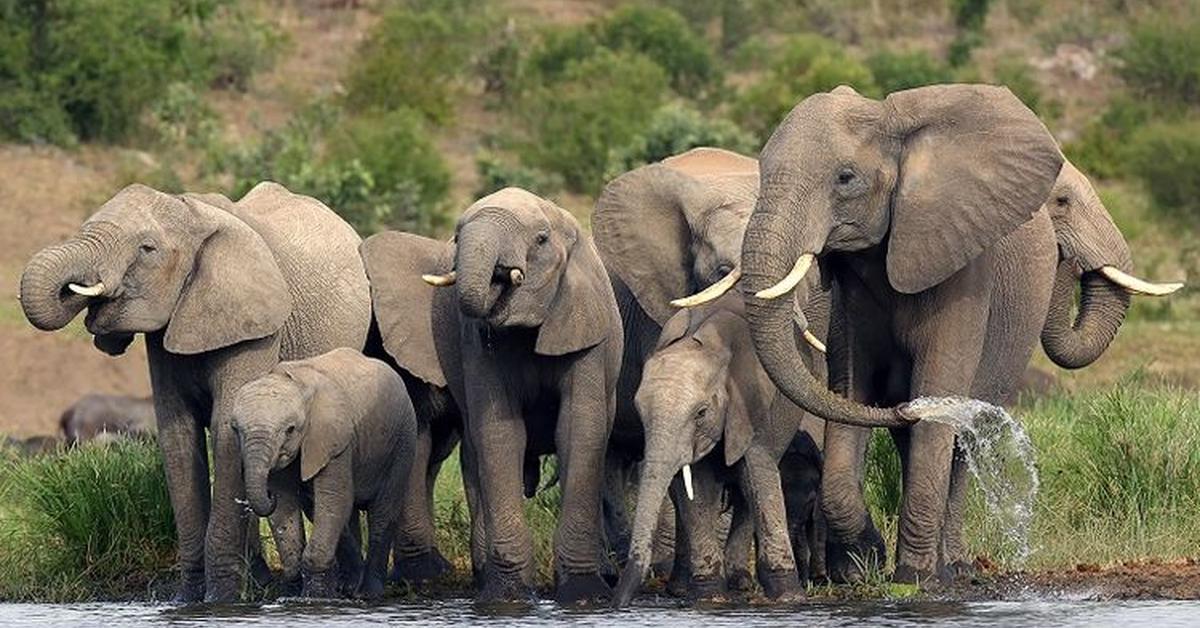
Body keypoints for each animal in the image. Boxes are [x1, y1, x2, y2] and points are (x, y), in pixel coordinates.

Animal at [18, 182, 369, 605]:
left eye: (147, 249)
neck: (192, 213)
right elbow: (178, 438)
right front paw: (187, 599)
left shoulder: (255, 328)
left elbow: (225, 431)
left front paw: (220, 599)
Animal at [229, 348, 417, 600]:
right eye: (235, 429)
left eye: (290, 430)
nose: (268, 495)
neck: (297, 384)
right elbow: (286, 506)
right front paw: (290, 594)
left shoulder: (334, 438)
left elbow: (334, 498)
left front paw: (314, 597)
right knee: (326, 510)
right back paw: (349, 587)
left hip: (403, 441)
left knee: (383, 511)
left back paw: (368, 593)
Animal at [357, 188, 624, 609]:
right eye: (457, 234)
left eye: (541, 239)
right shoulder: (476, 344)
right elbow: (500, 434)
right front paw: (508, 596)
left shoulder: (585, 331)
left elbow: (580, 430)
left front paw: (584, 596)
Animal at [614, 296, 830, 609]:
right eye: (640, 412)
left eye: (701, 413)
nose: (617, 602)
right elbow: (697, 489)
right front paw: (710, 597)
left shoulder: (751, 407)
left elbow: (756, 476)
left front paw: (789, 598)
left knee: (746, 492)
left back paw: (740, 581)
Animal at [700, 83, 1176, 585]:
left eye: (846, 178)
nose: (1070, 260)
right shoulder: (849, 297)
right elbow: (850, 391)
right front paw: (865, 566)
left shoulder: (964, 268)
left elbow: (938, 393)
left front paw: (913, 579)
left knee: (962, 443)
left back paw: (954, 569)